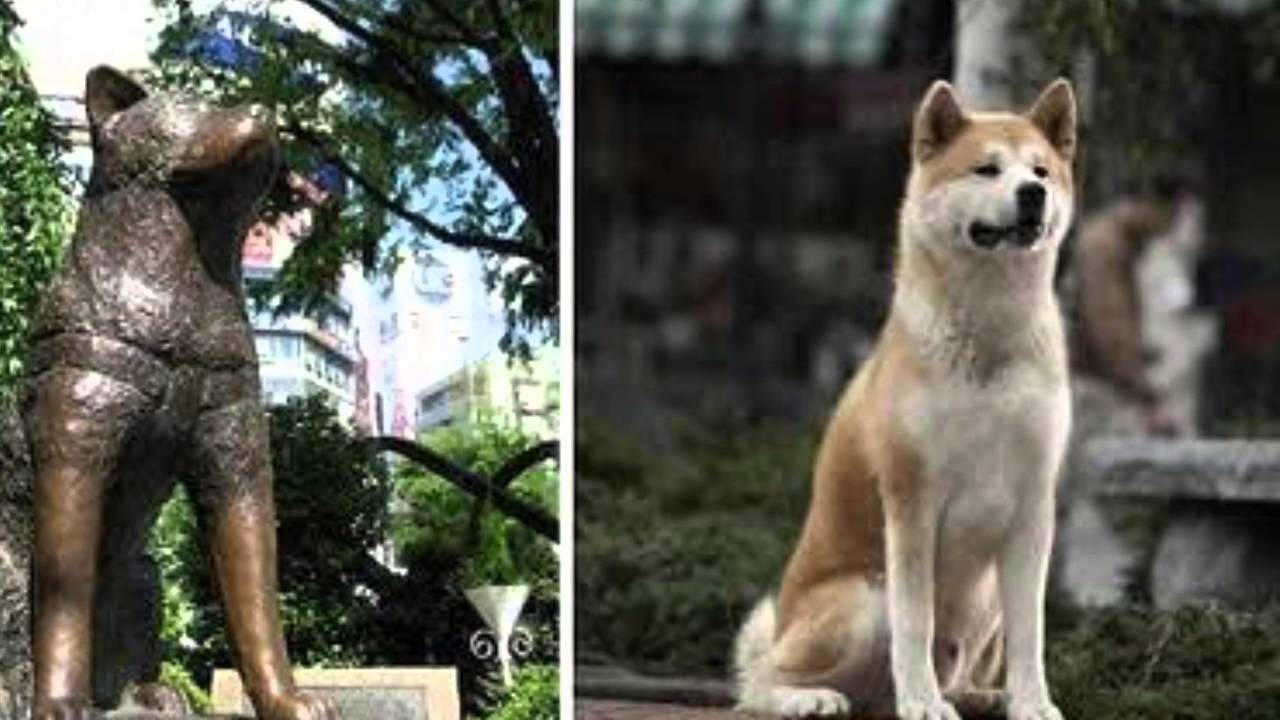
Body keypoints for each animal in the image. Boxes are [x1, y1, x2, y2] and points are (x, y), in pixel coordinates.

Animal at [737, 79, 1075, 717]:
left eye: (1041, 170)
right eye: (987, 168)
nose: (1033, 194)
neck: (990, 338)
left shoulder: (1034, 505)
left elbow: (1032, 630)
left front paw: (1032, 703)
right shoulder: (912, 499)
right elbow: (915, 622)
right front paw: (921, 704)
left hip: (984, 598)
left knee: (957, 666)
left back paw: (979, 695)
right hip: (862, 599)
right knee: (757, 681)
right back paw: (811, 698)